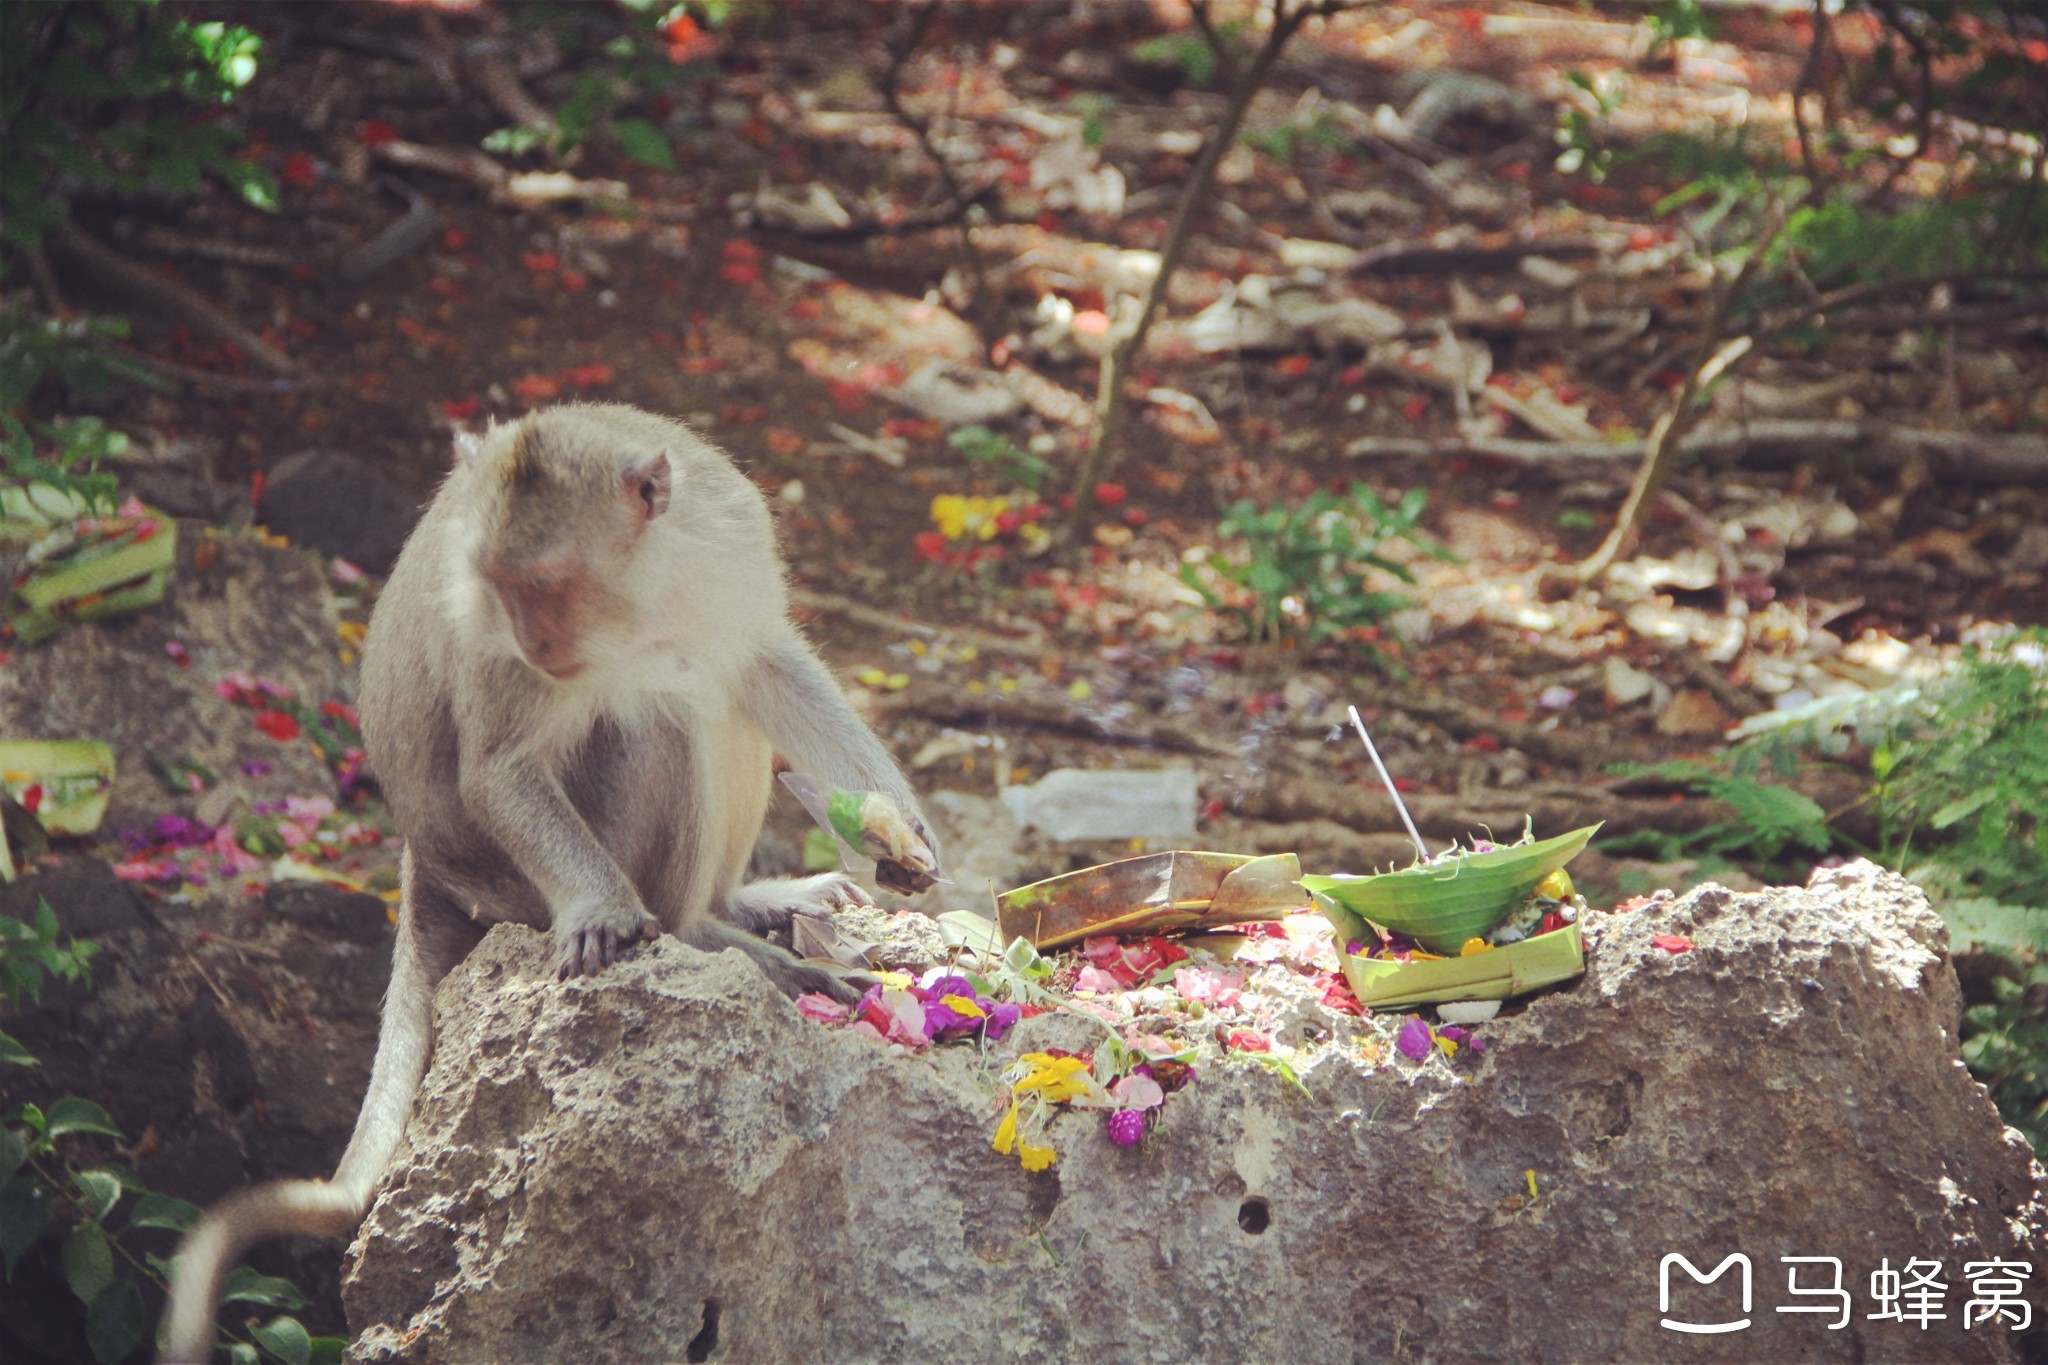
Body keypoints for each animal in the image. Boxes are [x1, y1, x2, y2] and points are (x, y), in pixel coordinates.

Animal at [157, 405, 929, 1365]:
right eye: (503, 587)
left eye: (551, 583)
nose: (533, 640)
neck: (642, 592)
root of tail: (421, 855)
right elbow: (502, 769)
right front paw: (605, 911)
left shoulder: (729, 544)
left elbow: (766, 660)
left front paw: (899, 823)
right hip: (513, 879)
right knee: (661, 714)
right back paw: (701, 931)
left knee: (707, 682)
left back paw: (738, 906)